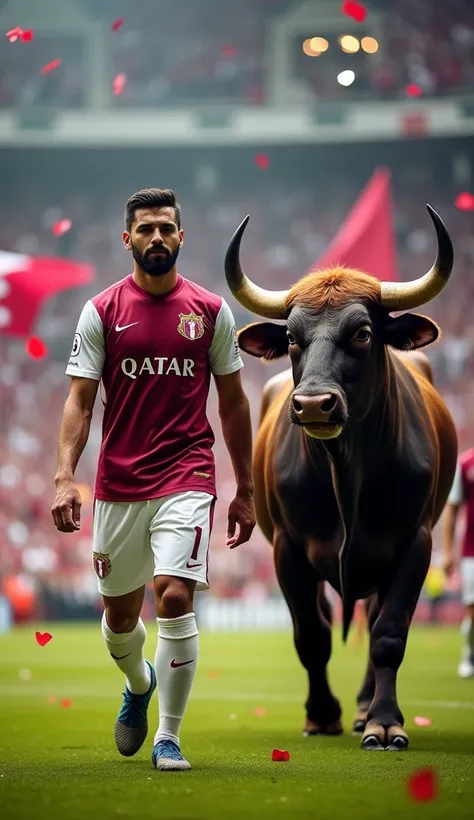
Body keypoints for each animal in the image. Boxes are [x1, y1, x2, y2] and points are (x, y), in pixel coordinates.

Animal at [224, 205, 458, 748]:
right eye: (291, 337)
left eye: (363, 333)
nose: (313, 404)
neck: (345, 474)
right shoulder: (287, 548)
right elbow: (311, 635)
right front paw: (320, 714)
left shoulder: (415, 542)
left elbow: (389, 634)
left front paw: (384, 721)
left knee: (373, 621)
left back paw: (366, 707)